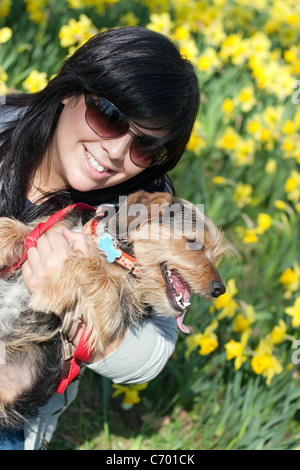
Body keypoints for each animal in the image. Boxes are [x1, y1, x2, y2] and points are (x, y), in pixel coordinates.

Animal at [0, 190, 227, 430]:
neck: (116, 251)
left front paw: (52, 290)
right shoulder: (49, 232)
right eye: (194, 242)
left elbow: (95, 273)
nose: (220, 289)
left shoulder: (108, 316)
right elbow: (18, 230)